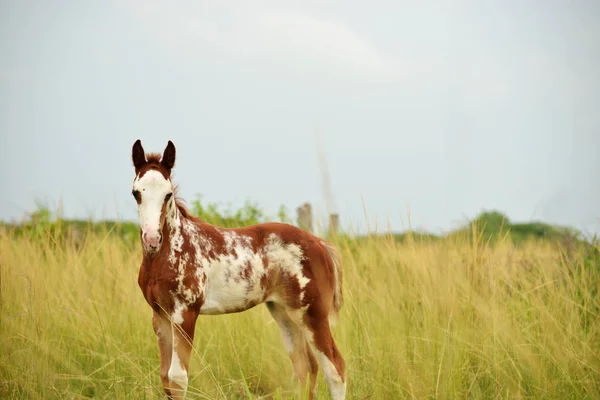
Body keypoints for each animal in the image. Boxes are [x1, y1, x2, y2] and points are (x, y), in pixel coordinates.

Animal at [131, 139, 346, 398]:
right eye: (136, 193)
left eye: (168, 194)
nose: (152, 238)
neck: (169, 252)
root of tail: (319, 244)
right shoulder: (160, 315)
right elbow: (165, 378)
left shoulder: (185, 313)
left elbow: (177, 378)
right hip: (284, 311)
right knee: (305, 366)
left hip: (312, 313)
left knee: (334, 368)